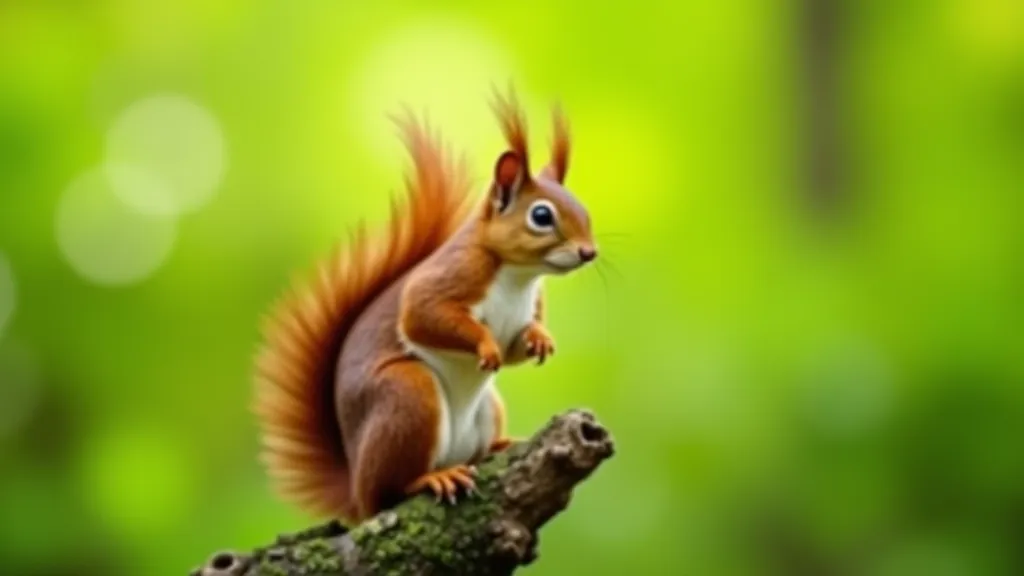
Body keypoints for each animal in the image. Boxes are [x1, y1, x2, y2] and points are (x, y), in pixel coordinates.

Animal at [252, 88, 597, 524]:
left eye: (584, 209)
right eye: (541, 215)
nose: (589, 252)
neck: (519, 277)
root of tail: (356, 493)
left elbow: (516, 345)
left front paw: (540, 339)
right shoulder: (447, 279)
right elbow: (423, 317)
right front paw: (485, 345)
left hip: (487, 409)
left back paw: (497, 447)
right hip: (409, 394)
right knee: (392, 491)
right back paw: (432, 479)